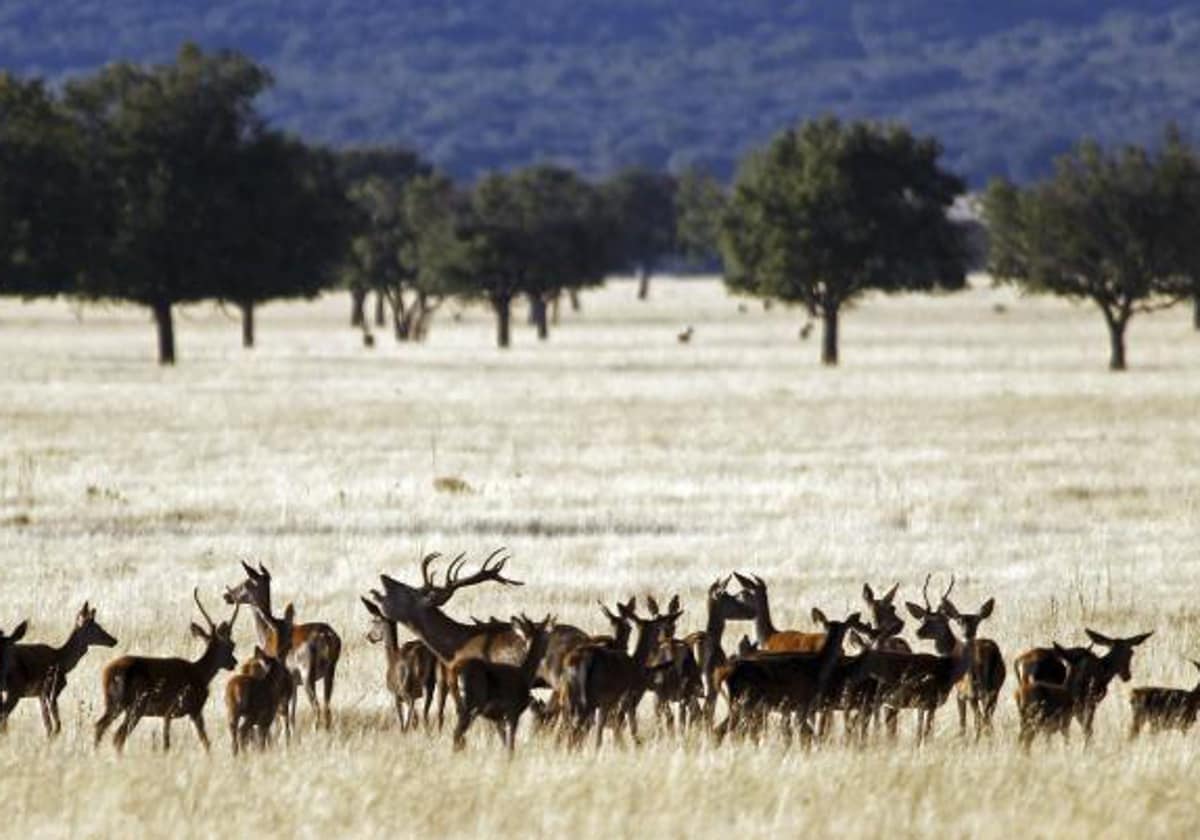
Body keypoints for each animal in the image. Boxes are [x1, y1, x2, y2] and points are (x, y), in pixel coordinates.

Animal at [0, 600, 115, 739]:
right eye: (97, 627)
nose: (114, 640)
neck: (62, 661)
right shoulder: (53, 689)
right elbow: (56, 725)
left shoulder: (41, 693)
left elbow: (48, 724)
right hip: (15, 687)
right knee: (4, 714)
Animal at [93, 590, 238, 753]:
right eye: (231, 645)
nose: (234, 663)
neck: (200, 673)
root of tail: (109, 673)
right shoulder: (191, 709)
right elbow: (204, 742)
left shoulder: (167, 714)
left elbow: (168, 742)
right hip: (137, 705)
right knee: (118, 736)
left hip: (113, 703)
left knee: (99, 726)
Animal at [224, 561, 343, 729]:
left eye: (246, 582)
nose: (227, 596)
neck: (267, 634)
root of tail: (327, 635)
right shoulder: (293, 682)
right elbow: (292, 714)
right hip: (330, 671)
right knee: (327, 707)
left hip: (307, 674)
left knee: (317, 707)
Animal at [226, 604, 297, 753]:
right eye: (289, 634)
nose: (288, 680)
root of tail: (235, 690)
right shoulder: (267, 717)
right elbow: (265, 740)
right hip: (252, 714)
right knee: (243, 732)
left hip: (232, 713)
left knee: (235, 736)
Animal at [448, 609, 554, 753]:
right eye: (545, 638)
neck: (525, 674)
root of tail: (456, 671)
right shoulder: (513, 710)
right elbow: (511, 746)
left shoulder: (498, 717)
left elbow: (504, 742)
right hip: (471, 702)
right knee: (457, 733)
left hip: (461, 703)